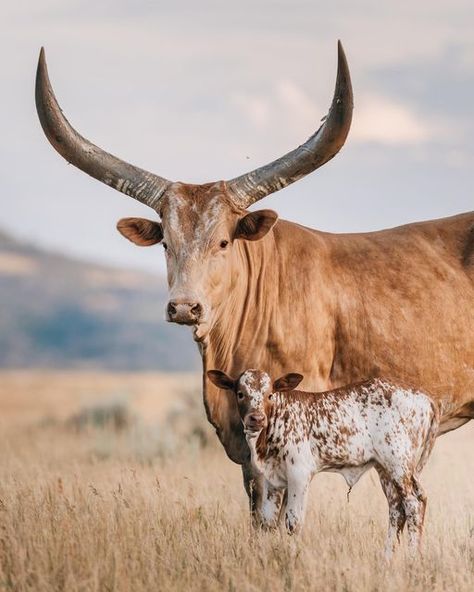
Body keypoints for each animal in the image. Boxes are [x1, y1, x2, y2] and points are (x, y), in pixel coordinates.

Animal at [209, 368, 438, 556]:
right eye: (240, 394)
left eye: (269, 394)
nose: (256, 418)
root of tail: (425, 398)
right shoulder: (273, 481)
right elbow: (267, 522)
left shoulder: (299, 474)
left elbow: (293, 522)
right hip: (386, 469)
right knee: (397, 508)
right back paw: (387, 559)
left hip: (398, 463)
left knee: (413, 504)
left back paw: (412, 559)